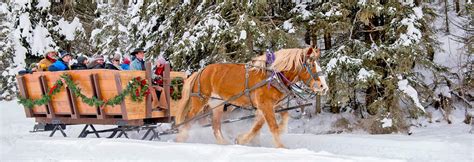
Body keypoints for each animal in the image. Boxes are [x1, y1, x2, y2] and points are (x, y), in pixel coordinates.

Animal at [176, 47, 328, 148]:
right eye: (311, 64)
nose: (324, 87)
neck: (272, 76)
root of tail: (201, 71)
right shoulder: (265, 105)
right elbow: (272, 126)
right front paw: (281, 147)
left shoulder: (269, 106)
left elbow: (265, 123)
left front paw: (242, 140)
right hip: (200, 101)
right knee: (188, 120)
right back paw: (180, 139)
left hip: (219, 105)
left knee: (216, 126)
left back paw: (224, 143)